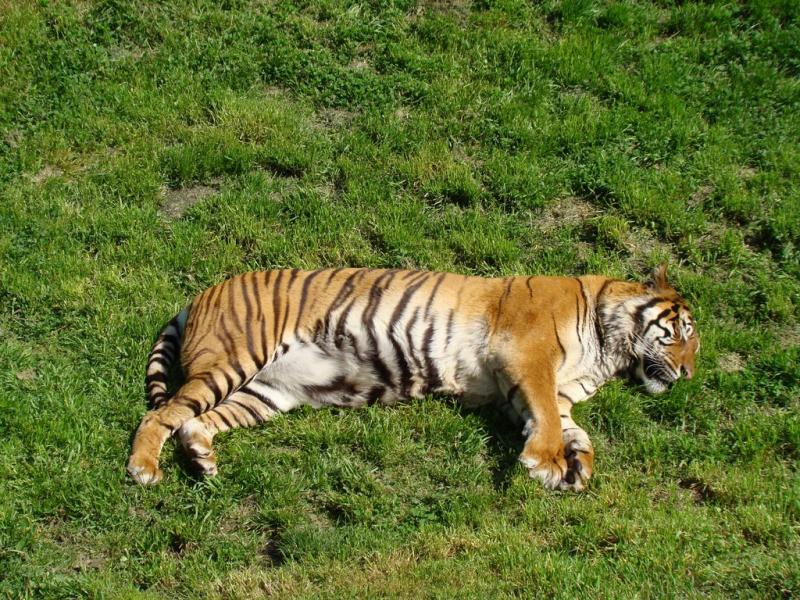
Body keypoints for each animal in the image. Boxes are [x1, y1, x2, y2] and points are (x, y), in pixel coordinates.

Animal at [128, 264, 698, 491]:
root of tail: (196, 296)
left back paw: (201, 459)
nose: (689, 374)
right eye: (681, 333)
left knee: (193, 421)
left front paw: (579, 469)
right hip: (236, 360)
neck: (609, 352)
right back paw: (144, 470)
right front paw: (546, 463)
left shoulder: (546, 395)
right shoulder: (527, 356)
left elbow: (572, 429)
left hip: (267, 393)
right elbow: (551, 425)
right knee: (161, 414)